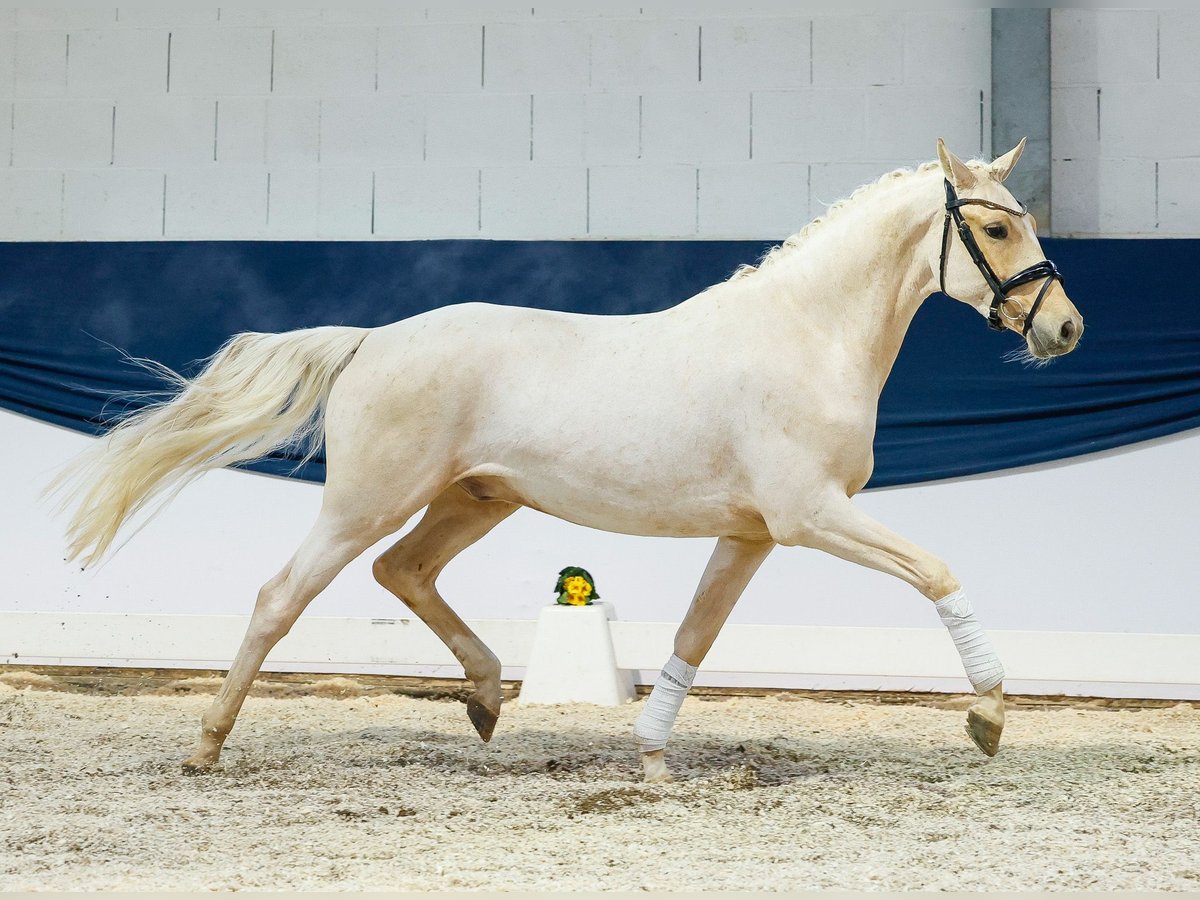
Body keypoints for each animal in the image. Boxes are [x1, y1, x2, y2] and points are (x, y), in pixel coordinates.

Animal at [54, 139, 1089, 782]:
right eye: (998, 228)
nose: (1067, 330)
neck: (805, 338)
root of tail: (372, 341)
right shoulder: (811, 516)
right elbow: (938, 573)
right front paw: (988, 717)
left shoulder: (754, 534)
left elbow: (694, 637)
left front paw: (652, 758)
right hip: (367, 502)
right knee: (283, 596)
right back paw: (205, 748)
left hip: (476, 500)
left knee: (404, 572)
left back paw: (483, 699)